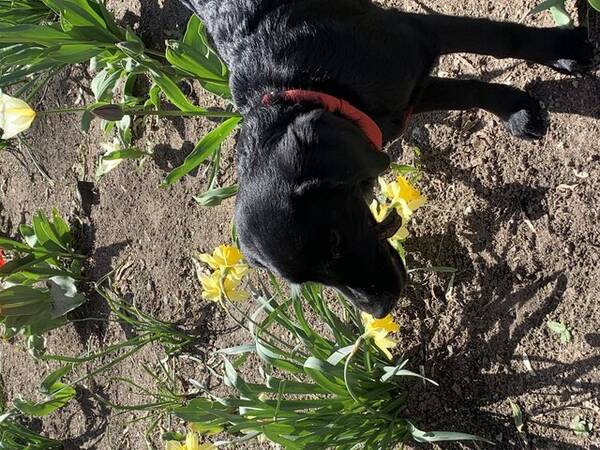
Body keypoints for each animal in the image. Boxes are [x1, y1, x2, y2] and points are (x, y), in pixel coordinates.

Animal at [179, 0, 596, 318]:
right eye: (311, 282)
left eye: (334, 239)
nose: (380, 310)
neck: (301, 82)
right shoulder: (398, 104)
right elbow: (468, 91)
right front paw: (517, 110)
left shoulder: (415, 34)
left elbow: (499, 38)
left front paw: (565, 50)